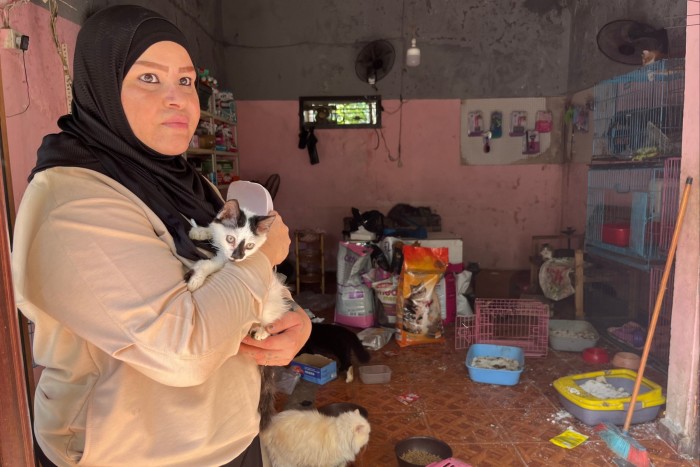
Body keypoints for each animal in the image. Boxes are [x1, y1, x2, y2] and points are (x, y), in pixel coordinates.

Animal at [185, 199, 292, 430]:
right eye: (231, 239)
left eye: (250, 246)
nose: (238, 256)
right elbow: (213, 234)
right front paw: (201, 232)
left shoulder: (226, 262)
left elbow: (210, 263)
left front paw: (196, 278)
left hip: (271, 300)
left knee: (270, 318)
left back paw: (261, 330)